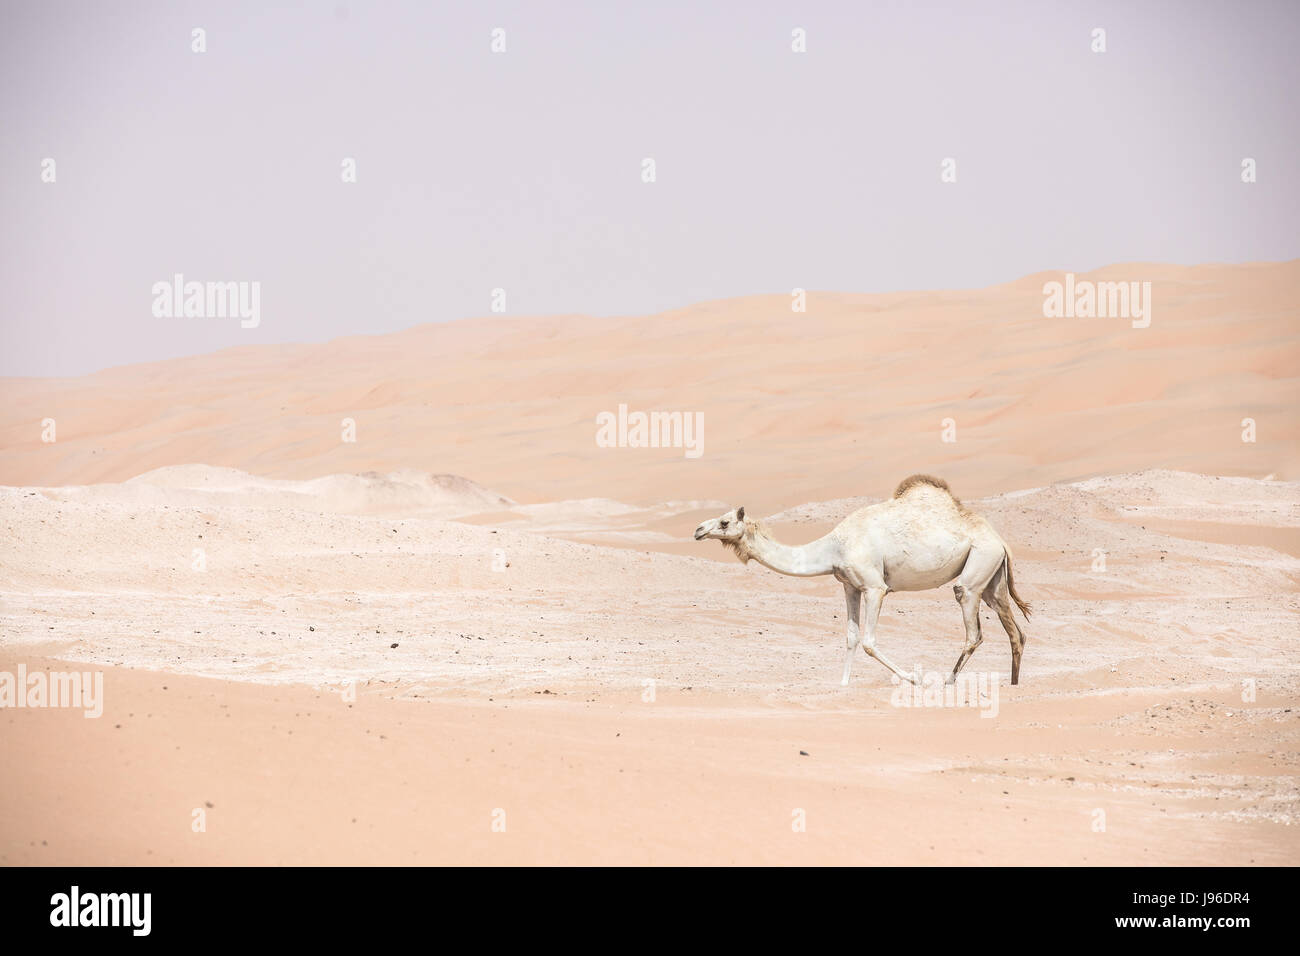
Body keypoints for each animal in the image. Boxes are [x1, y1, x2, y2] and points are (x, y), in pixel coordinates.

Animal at [693, 475, 1032, 686]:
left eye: (724, 522)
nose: (698, 530)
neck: (834, 547)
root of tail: (1001, 541)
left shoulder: (874, 587)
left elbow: (868, 641)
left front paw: (914, 678)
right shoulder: (849, 585)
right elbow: (851, 638)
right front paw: (842, 684)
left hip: (977, 569)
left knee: (973, 629)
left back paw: (948, 680)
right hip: (992, 576)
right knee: (1015, 631)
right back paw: (1014, 684)